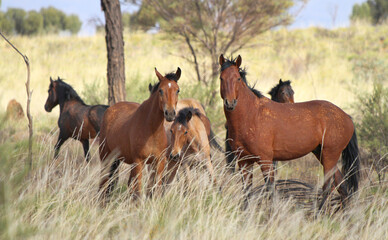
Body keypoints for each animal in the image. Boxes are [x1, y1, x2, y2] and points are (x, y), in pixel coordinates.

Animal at [98, 67, 180, 199]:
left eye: (177, 90)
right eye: (161, 90)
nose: (170, 114)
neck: (151, 129)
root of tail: (110, 110)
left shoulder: (158, 162)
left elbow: (154, 190)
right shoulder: (139, 162)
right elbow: (138, 192)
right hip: (106, 157)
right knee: (103, 184)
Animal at [218, 54, 360, 208]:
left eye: (238, 78)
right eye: (221, 78)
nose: (230, 103)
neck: (251, 114)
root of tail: (346, 116)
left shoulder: (266, 160)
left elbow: (270, 190)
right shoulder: (244, 161)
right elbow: (246, 192)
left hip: (330, 155)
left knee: (328, 187)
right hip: (322, 154)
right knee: (342, 186)